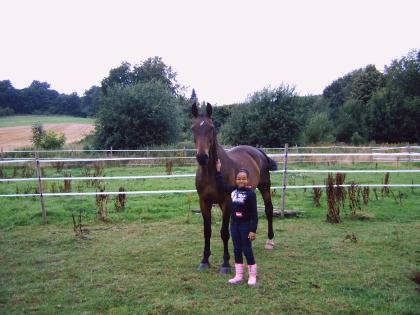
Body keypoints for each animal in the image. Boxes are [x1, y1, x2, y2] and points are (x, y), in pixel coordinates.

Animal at [191, 102, 278, 274]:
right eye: (193, 128)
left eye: (212, 128)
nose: (202, 157)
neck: (212, 173)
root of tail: (258, 151)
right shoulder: (204, 202)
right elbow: (207, 231)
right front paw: (204, 260)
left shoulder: (226, 203)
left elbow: (224, 232)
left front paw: (225, 264)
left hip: (264, 186)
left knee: (269, 209)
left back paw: (270, 241)